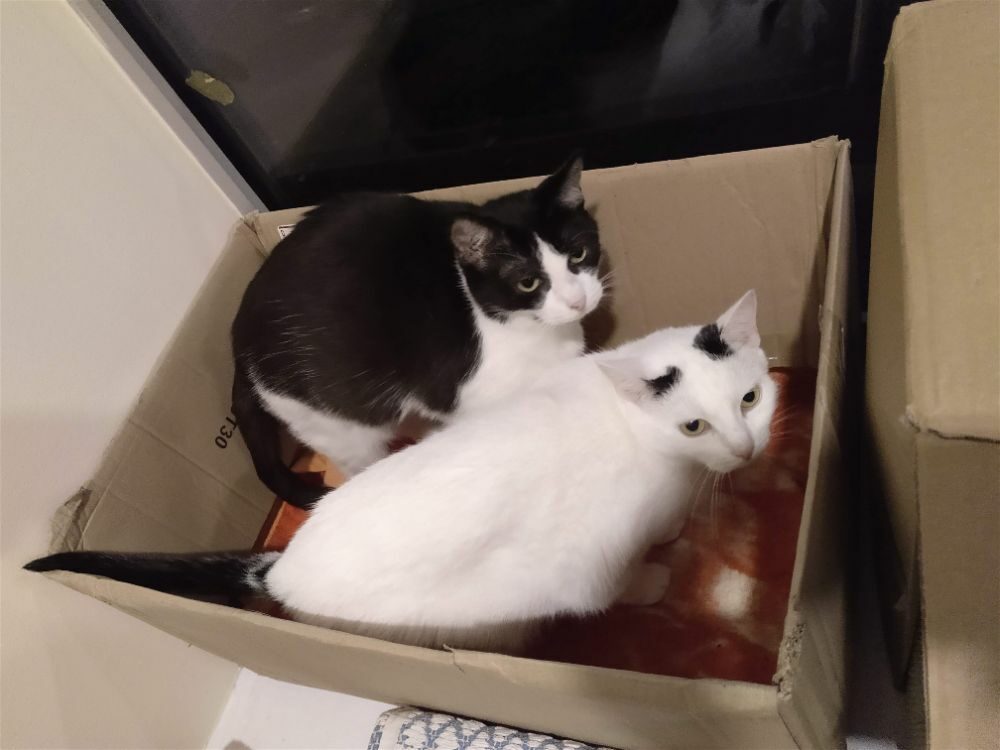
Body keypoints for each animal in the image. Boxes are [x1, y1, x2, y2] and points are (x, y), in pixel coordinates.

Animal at [27, 291, 777, 654]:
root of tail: (281, 564)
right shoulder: (581, 565)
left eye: (750, 398)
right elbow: (618, 584)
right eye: (693, 426)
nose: (746, 450)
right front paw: (654, 578)